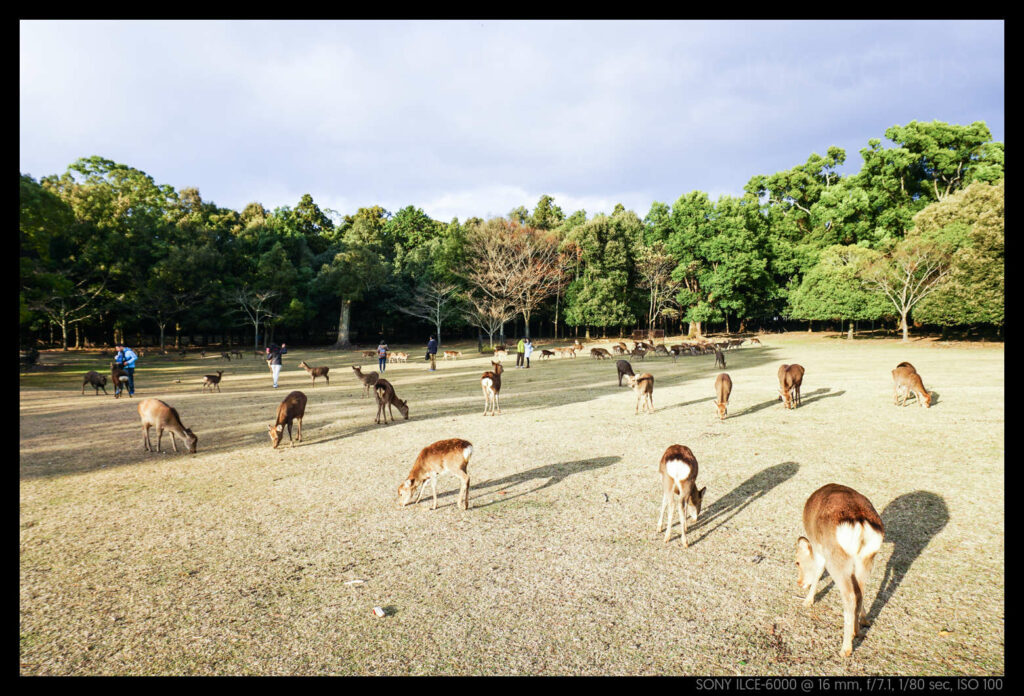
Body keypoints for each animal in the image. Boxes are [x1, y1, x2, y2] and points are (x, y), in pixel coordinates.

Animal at [794, 483, 884, 659]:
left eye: (797, 562)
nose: (799, 583)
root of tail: (861, 524)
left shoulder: (821, 551)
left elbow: (818, 571)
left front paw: (807, 601)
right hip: (866, 560)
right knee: (860, 592)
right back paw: (858, 629)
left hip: (838, 561)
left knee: (850, 596)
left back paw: (845, 649)